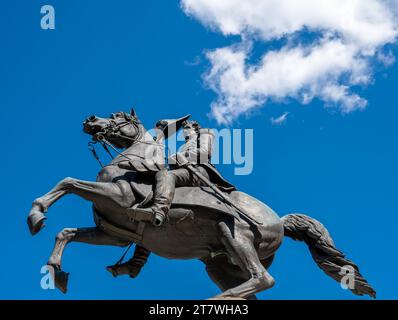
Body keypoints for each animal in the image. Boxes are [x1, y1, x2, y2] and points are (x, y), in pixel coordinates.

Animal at [27, 109, 376, 298]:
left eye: (118, 116)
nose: (89, 119)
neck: (131, 161)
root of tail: (280, 221)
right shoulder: (115, 234)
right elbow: (66, 232)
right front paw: (56, 271)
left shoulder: (119, 197)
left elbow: (69, 182)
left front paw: (35, 215)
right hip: (220, 263)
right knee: (253, 284)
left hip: (234, 234)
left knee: (263, 279)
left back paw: (218, 298)